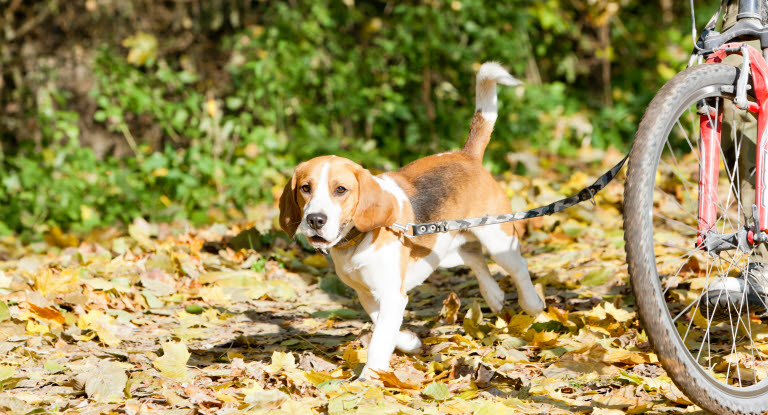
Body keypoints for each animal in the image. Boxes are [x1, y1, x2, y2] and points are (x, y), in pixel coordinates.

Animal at [280, 61, 544, 380]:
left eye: (340, 190)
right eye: (305, 188)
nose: (316, 220)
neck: (356, 242)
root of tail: (466, 155)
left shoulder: (391, 294)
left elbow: (380, 338)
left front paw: (369, 377)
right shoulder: (368, 294)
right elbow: (381, 323)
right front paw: (409, 341)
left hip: (497, 237)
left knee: (518, 267)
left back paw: (532, 303)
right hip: (448, 245)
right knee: (475, 258)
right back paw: (493, 296)